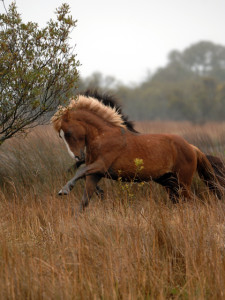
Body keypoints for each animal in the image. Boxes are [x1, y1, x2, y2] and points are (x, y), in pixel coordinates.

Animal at [51, 92, 225, 210]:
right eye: (60, 136)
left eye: (68, 133)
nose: (76, 156)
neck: (103, 136)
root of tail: (192, 147)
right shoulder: (96, 174)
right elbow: (84, 201)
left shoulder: (101, 165)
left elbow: (80, 171)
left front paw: (64, 190)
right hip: (170, 183)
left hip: (182, 182)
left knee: (192, 202)